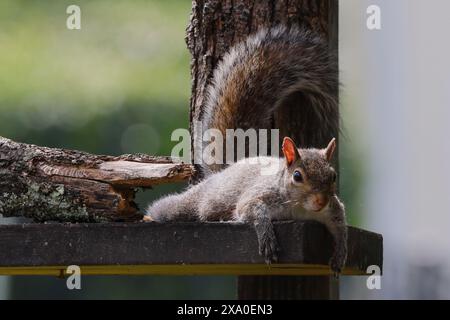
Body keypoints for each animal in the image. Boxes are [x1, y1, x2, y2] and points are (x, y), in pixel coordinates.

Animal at [144, 26, 348, 274]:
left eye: (333, 176)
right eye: (297, 176)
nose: (320, 201)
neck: (300, 207)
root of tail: (227, 170)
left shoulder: (333, 208)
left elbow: (341, 226)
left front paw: (341, 253)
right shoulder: (260, 195)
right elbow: (251, 209)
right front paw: (266, 237)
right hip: (200, 201)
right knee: (171, 208)